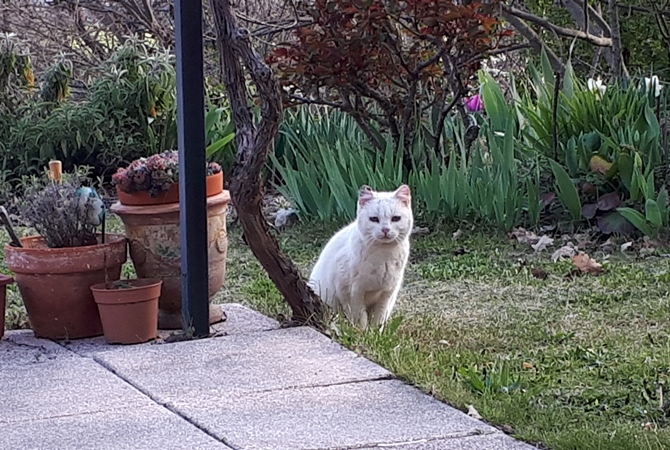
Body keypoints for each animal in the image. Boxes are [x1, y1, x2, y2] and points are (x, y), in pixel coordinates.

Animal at [312, 185, 414, 328]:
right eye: (374, 219)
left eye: (395, 218)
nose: (385, 230)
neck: (382, 256)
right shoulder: (352, 294)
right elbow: (360, 319)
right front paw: (363, 332)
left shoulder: (387, 295)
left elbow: (378, 320)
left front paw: (376, 332)